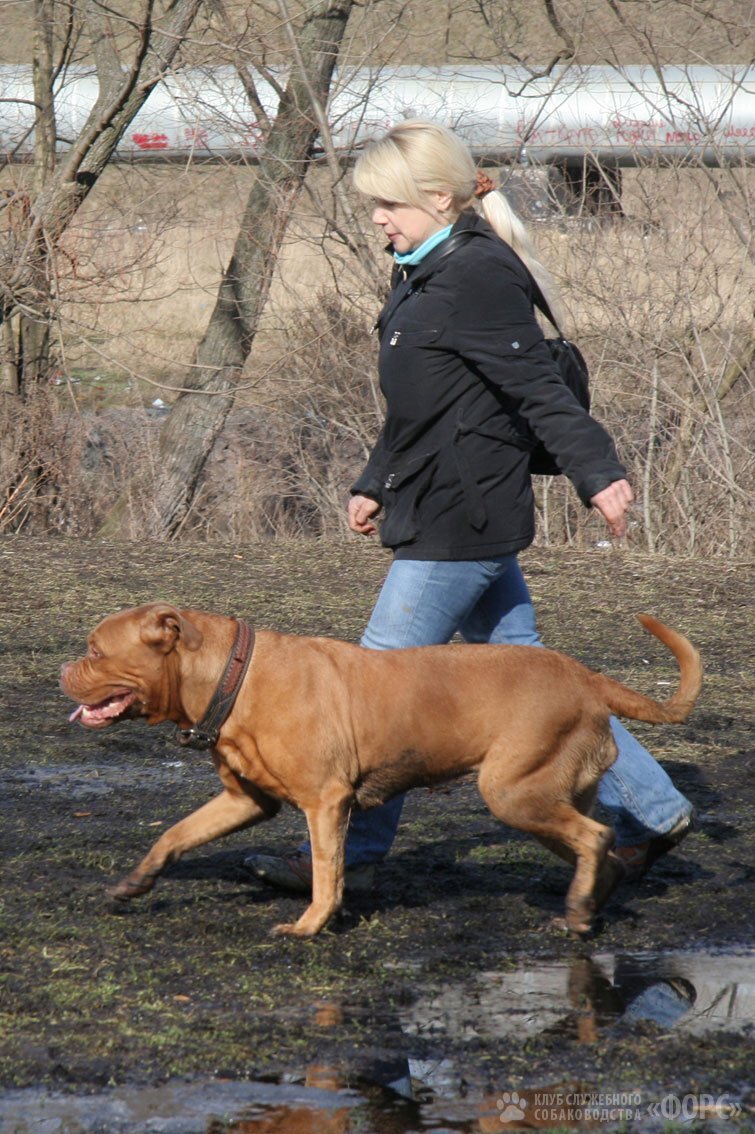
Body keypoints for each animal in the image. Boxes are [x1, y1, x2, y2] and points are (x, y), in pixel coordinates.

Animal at [60, 603, 698, 938]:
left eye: (94, 651)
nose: (64, 670)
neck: (229, 677)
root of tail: (588, 678)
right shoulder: (246, 801)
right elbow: (174, 834)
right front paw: (135, 882)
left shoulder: (325, 803)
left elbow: (327, 872)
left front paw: (310, 925)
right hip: (545, 798)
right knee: (601, 847)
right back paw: (590, 901)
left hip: (512, 792)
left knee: (596, 837)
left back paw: (578, 910)